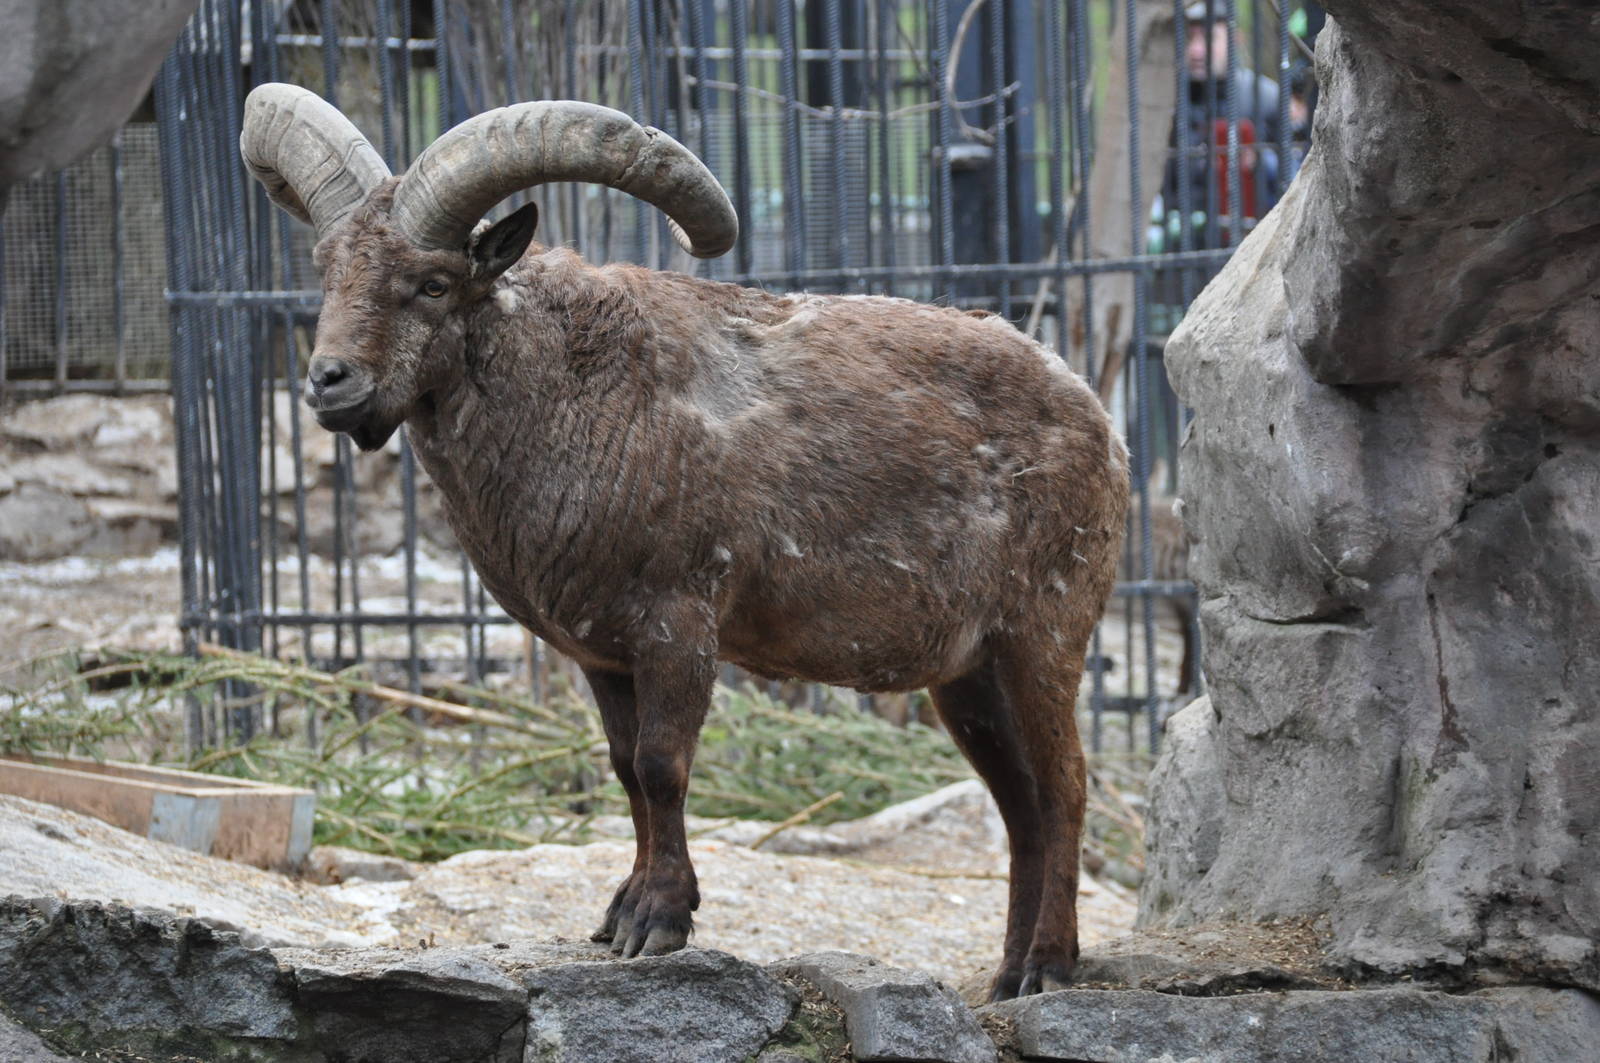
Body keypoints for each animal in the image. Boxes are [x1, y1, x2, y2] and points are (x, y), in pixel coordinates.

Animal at [240, 83, 1129, 999]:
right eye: (326, 268)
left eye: (433, 280)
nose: (330, 382)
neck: (570, 392)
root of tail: (1101, 421)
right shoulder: (602, 652)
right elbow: (625, 765)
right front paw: (618, 911)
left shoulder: (678, 620)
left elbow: (664, 762)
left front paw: (659, 918)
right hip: (968, 674)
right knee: (1020, 804)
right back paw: (1008, 971)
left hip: (1044, 631)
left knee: (1066, 787)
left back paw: (1050, 965)